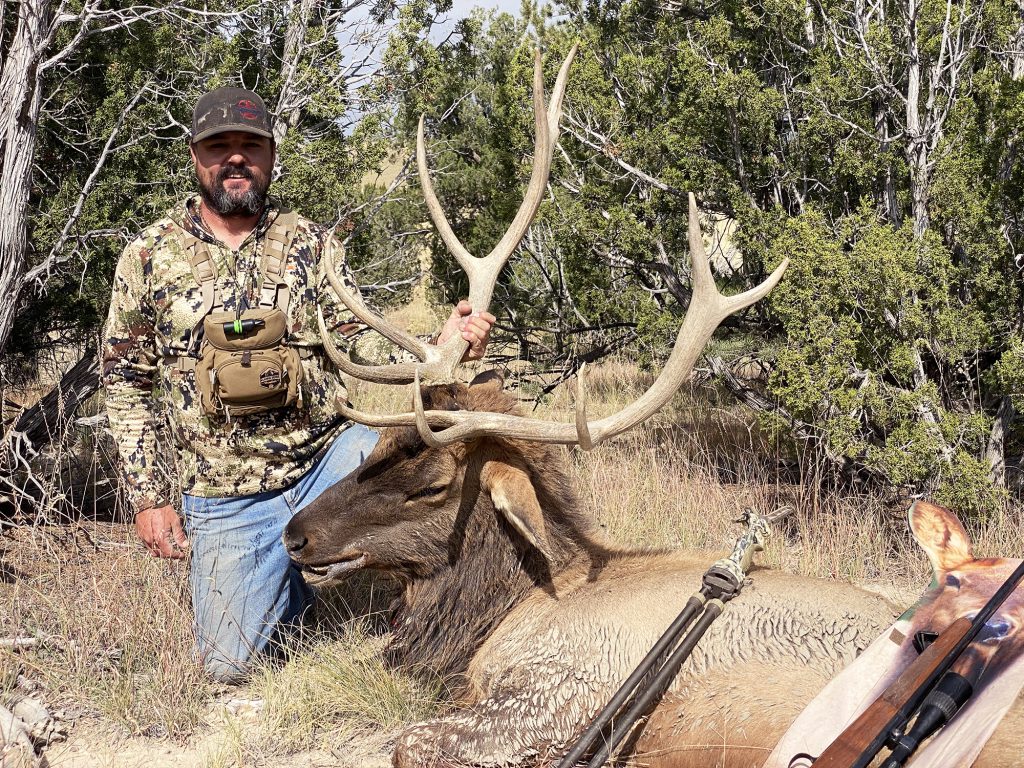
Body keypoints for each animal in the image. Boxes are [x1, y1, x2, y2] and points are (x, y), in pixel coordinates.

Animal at [286, 49, 888, 768]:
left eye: (432, 484)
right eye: (375, 448)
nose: (295, 534)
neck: (506, 609)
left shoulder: (561, 697)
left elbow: (410, 742)